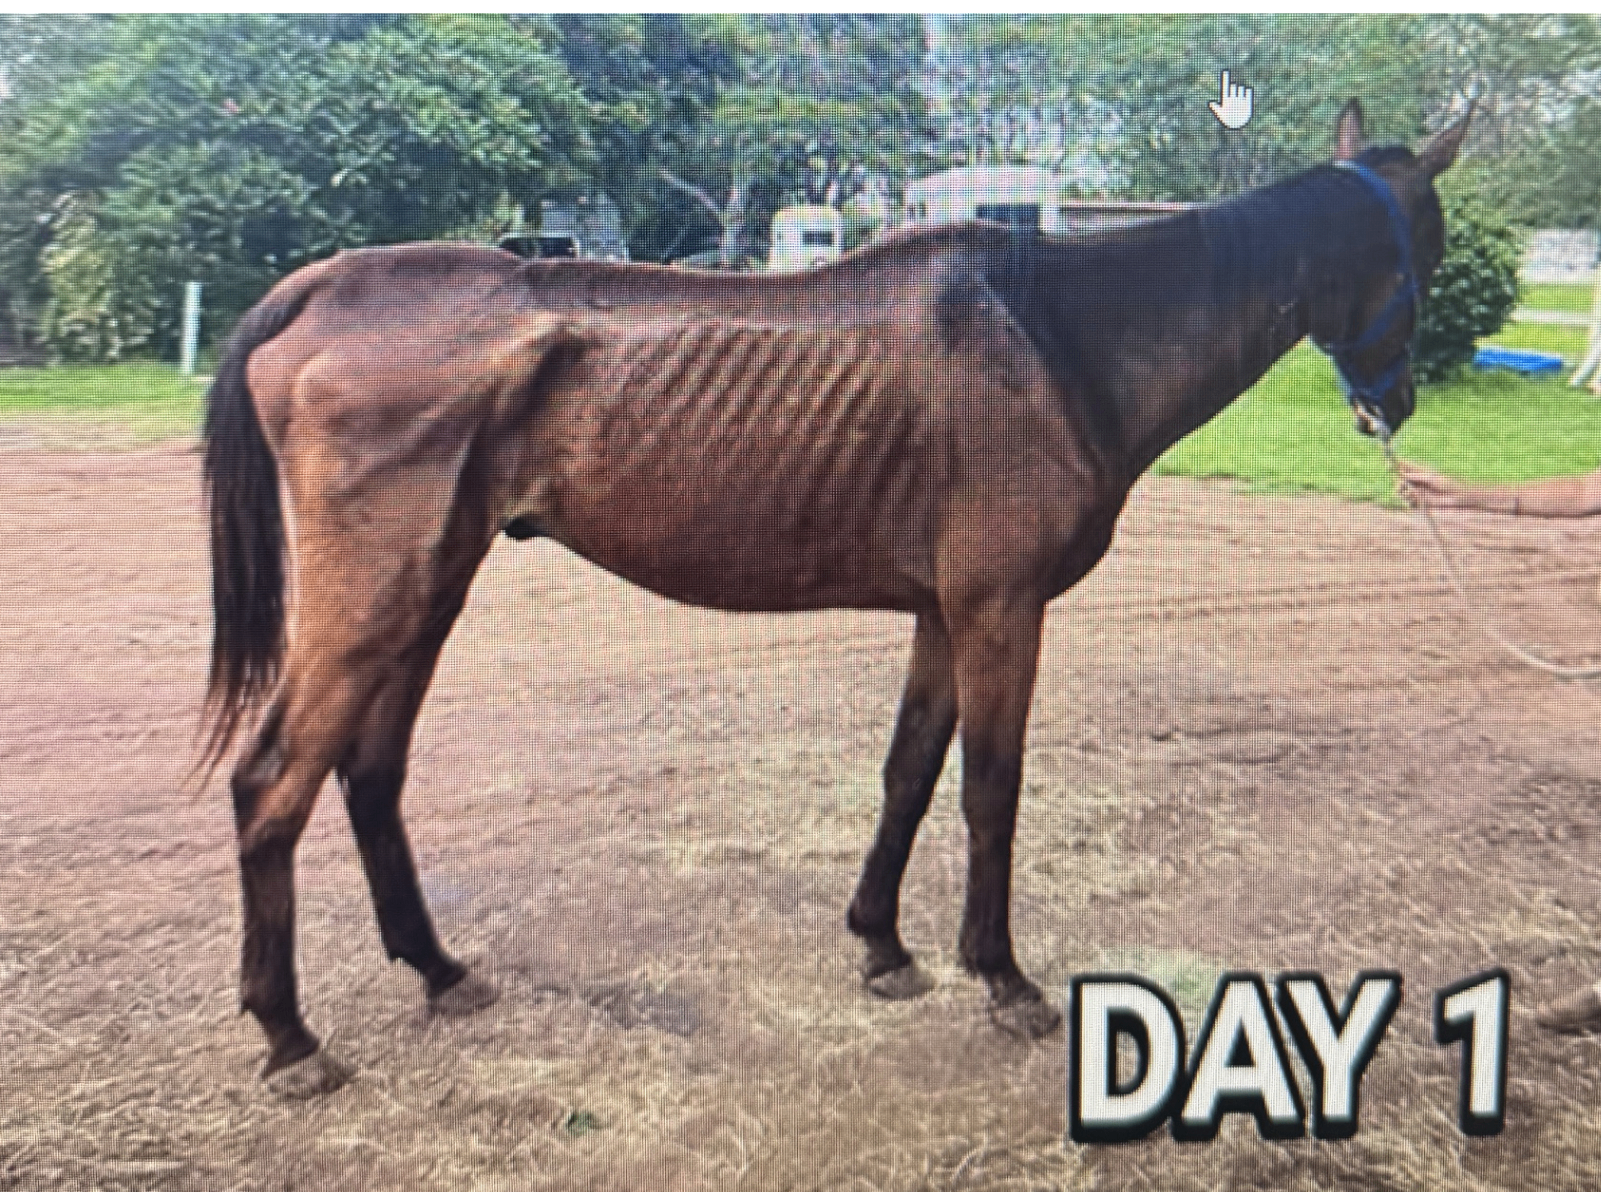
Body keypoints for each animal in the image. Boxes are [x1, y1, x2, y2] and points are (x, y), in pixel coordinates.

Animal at [201, 101, 1469, 1096]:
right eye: (1431, 241)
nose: (1398, 399)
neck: (1055, 336)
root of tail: (324, 291)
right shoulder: (1001, 609)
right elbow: (990, 788)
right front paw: (1000, 976)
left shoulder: (941, 613)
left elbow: (908, 769)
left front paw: (882, 947)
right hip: (374, 603)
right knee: (273, 784)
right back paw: (291, 1039)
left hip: (428, 592)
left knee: (369, 771)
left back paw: (439, 971)